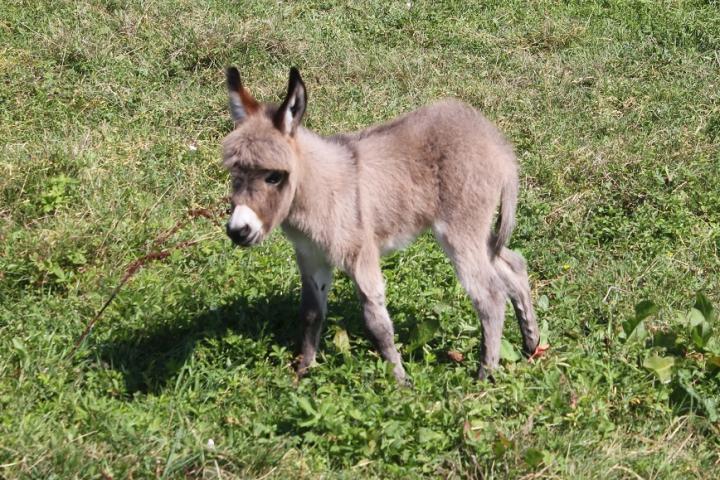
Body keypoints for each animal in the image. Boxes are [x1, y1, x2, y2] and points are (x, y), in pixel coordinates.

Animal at [222, 67, 536, 384]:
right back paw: (530, 343)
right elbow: (311, 314)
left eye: (274, 177)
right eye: (234, 173)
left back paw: (485, 376)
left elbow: (377, 325)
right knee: (514, 263)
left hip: (460, 230)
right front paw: (303, 373)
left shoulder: (362, 256)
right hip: (478, 231)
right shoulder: (311, 258)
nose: (238, 231)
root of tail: (499, 147)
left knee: (490, 295)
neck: (319, 190)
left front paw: (400, 382)